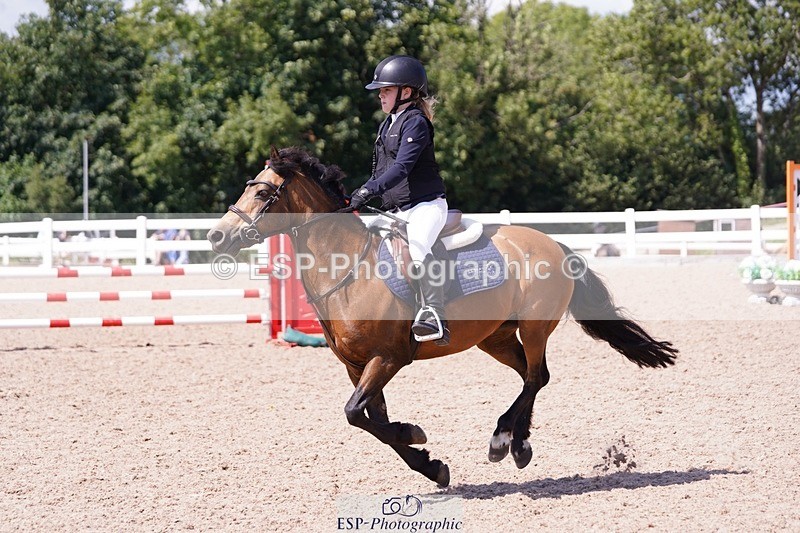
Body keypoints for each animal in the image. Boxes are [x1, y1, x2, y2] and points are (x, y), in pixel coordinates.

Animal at [207, 146, 678, 487]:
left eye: (263, 194)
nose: (216, 236)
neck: (349, 270)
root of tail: (553, 243)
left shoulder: (388, 358)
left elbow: (356, 414)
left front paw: (416, 437)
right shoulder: (357, 366)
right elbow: (372, 420)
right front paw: (428, 462)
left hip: (534, 327)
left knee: (536, 376)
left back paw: (503, 440)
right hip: (496, 338)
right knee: (531, 376)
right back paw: (518, 445)